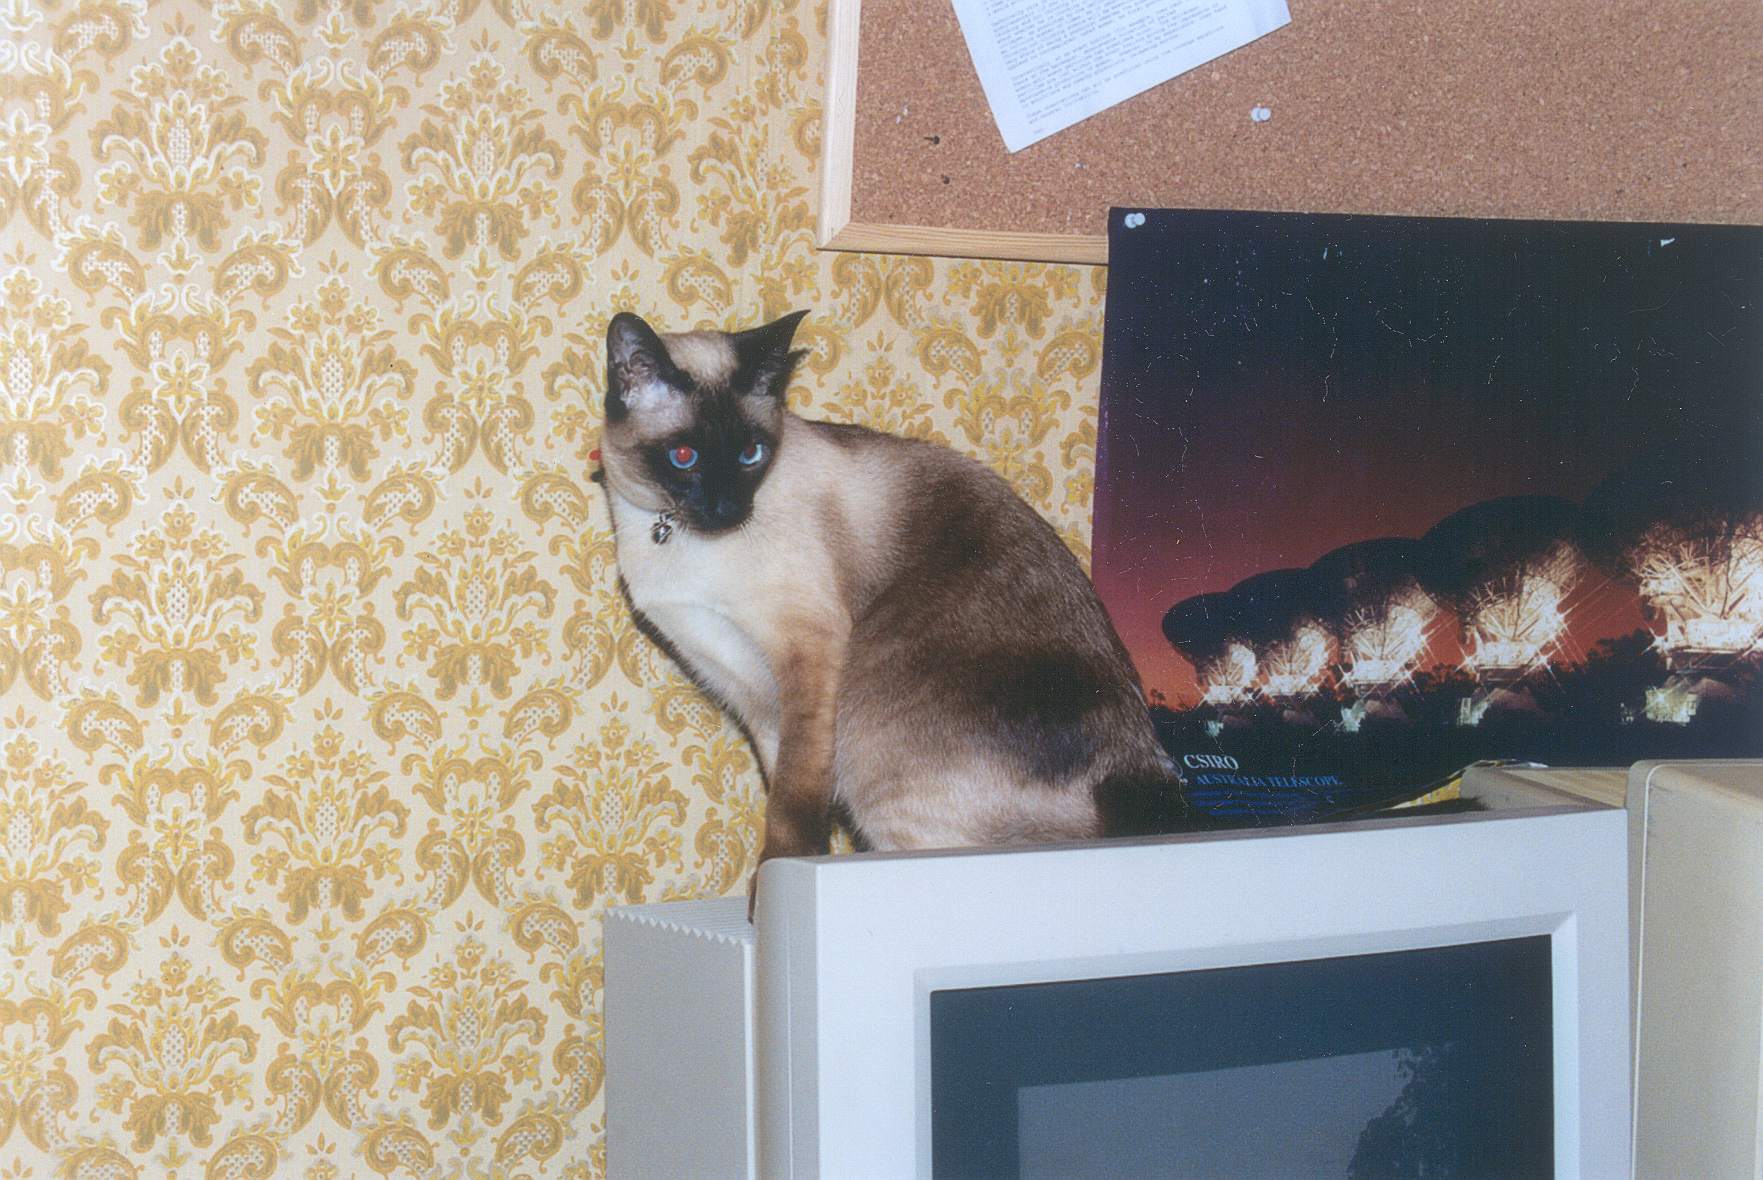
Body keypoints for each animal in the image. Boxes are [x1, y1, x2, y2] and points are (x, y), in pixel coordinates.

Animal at [598, 309, 1192, 906]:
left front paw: (767, 894)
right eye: (684, 457)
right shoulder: (753, 696)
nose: (726, 509)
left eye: (750, 455)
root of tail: (1144, 776)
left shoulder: (807, 653)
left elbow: (792, 801)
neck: (673, 538)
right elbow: (781, 784)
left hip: (874, 764)